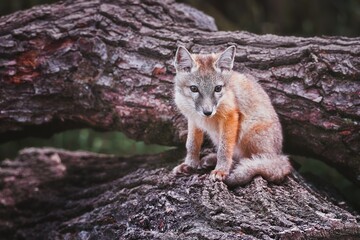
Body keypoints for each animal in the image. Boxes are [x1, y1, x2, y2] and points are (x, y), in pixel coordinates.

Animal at [172, 46, 292, 187]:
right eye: (194, 89)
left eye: (218, 88)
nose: (207, 112)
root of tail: (278, 153)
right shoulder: (194, 120)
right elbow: (191, 145)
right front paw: (190, 165)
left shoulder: (230, 116)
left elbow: (224, 150)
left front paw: (221, 170)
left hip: (248, 132)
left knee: (256, 160)